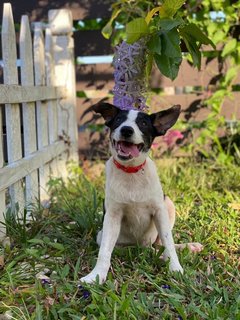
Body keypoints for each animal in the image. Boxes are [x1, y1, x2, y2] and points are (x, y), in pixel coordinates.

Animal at [80, 101, 202, 284]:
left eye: (143, 123)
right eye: (118, 120)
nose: (126, 130)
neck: (131, 172)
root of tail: (142, 245)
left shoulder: (159, 211)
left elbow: (169, 243)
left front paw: (175, 268)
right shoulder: (112, 216)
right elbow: (104, 252)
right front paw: (96, 275)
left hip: (168, 204)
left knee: (160, 245)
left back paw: (184, 248)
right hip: (103, 235)